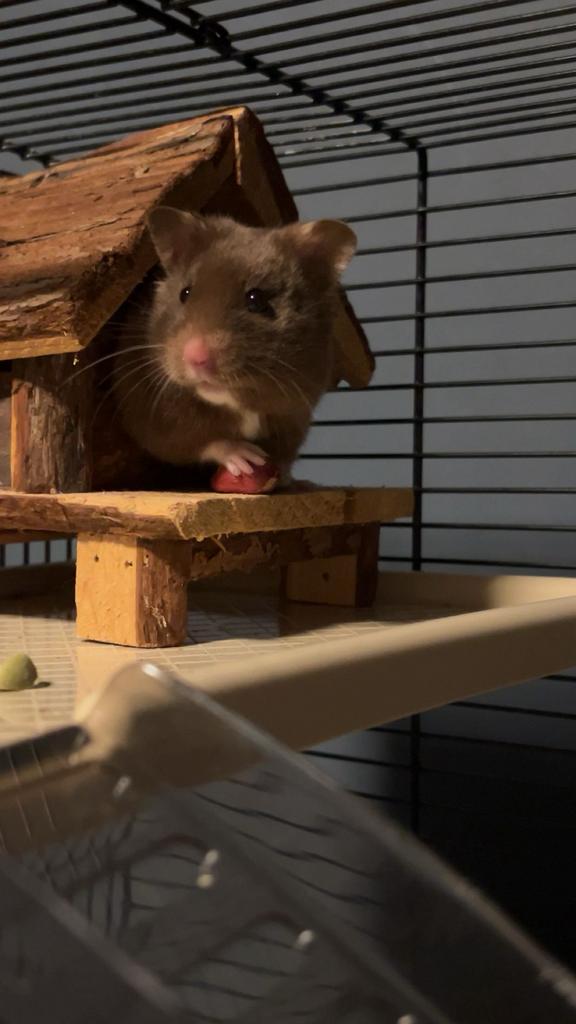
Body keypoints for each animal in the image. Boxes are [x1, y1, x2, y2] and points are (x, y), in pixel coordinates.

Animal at [112, 207, 357, 485]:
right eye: (185, 293)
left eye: (256, 299)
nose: (195, 357)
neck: (235, 403)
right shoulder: (153, 418)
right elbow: (202, 442)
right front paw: (246, 458)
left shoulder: (296, 415)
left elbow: (285, 456)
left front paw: (288, 479)